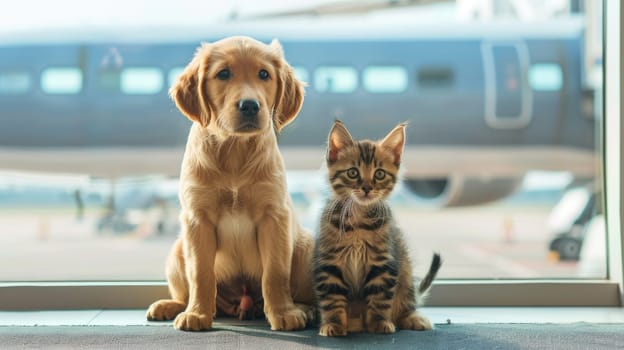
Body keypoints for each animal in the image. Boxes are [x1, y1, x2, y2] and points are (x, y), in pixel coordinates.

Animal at [147, 36, 316, 330]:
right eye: (223, 74)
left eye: (264, 74)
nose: (249, 105)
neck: (235, 149)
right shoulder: (197, 219)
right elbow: (201, 273)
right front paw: (197, 314)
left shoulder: (274, 216)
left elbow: (275, 273)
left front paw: (283, 313)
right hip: (177, 250)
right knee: (185, 290)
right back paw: (172, 306)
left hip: (307, 250)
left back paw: (304, 310)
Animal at [314, 119, 442, 336]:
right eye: (353, 173)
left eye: (379, 174)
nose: (367, 188)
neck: (358, 221)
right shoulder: (329, 263)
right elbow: (332, 299)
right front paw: (334, 324)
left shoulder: (383, 262)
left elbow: (380, 298)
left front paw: (379, 323)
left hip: (405, 267)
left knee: (406, 301)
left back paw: (411, 317)